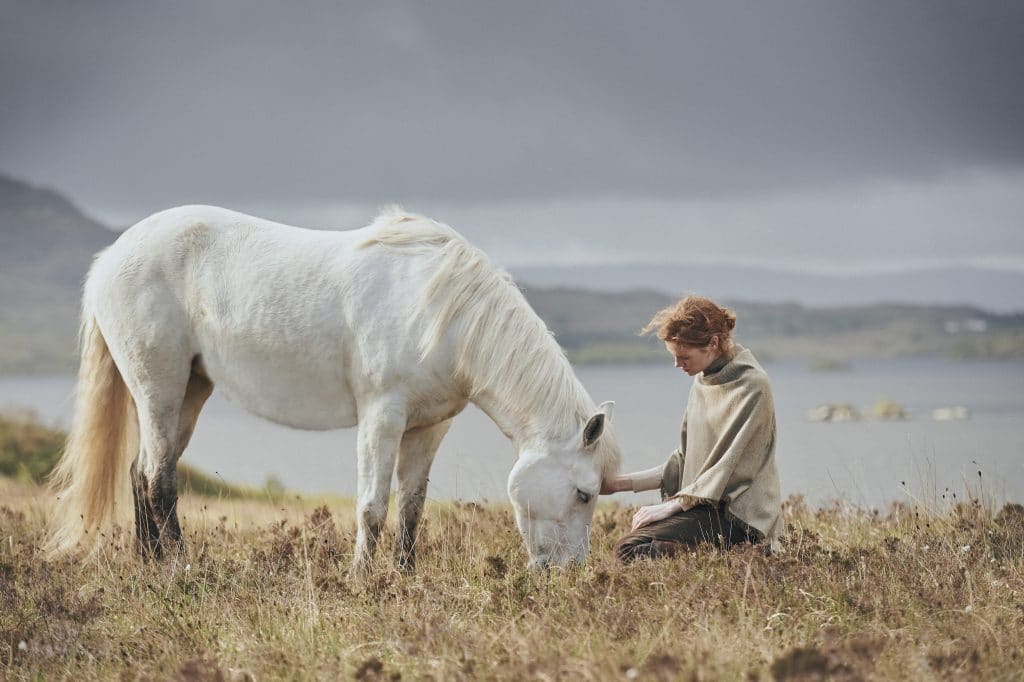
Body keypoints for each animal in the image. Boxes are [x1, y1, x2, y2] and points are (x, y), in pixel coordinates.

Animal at [48, 204, 618, 569]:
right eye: (585, 493)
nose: (568, 574)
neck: (443, 312)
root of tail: (112, 257)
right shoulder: (381, 417)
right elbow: (372, 507)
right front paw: (363, 580)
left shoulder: (427, 428)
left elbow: (411, 509)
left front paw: (403, 578)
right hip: (159, 388)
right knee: (160, 480)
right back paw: (179, 569)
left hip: (190, 390)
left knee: (140, 473)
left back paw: (149, 568)